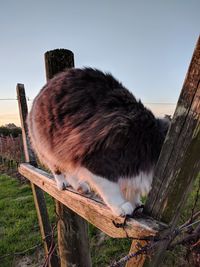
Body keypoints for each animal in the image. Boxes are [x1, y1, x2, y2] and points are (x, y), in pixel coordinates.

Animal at [27, 68, 169, 218]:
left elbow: (130, 188)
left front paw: (135, 203)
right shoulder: (97, 160)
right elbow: (111, 188)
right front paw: (121, 206)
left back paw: (79, 186)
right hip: (49, 147)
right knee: (57, 168)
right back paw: (62, 183)